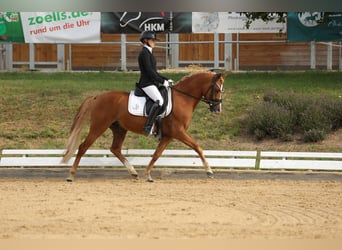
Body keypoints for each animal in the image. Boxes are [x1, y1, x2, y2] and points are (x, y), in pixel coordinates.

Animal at [62, 71, 227, 182]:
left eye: (222, 90)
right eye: (217, 89)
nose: (218, 109)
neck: (183, 98)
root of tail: (97, 97)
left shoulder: (168, 136)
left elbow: (156, 155)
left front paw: (147, 175)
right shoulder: (178, 132)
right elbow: (198, 147)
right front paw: (209, 171)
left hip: (119, 129)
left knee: (115, 149)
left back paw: (133, 172)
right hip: (98, 127)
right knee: (83, 147)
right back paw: (71, 175)